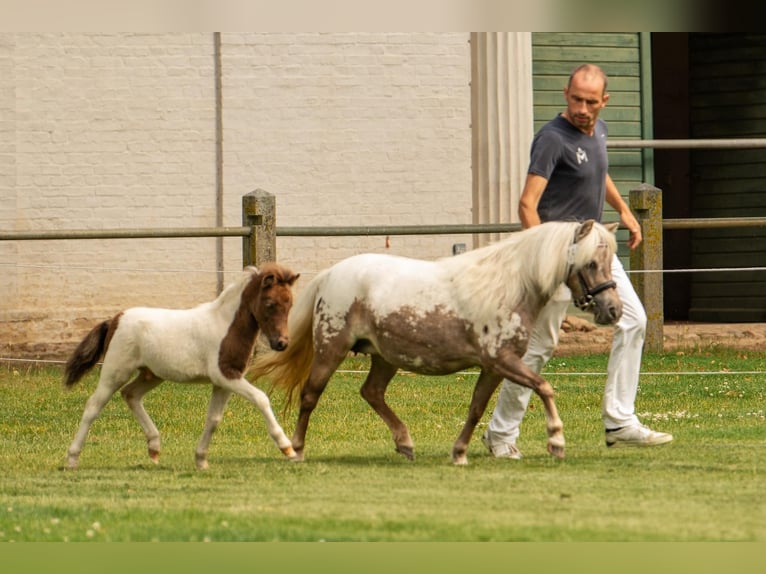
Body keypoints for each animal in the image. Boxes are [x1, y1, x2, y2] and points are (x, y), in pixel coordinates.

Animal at [64, 264, 302, 470]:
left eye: (290, 304)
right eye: (270, 303)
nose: (281, 343)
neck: (226, 325)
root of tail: (115, 319)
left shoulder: (224, 382)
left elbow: (213, 419)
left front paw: (201, 460)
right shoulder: (226, 376)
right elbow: (261, 398)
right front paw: (288, 449)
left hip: (151, 375)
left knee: (130, 394)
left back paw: (154, 448)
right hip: (115, 371)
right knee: (94, 406)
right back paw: (72, 459)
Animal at [250, 222, 624, 468]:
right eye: (591, 263)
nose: (613, 309)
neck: (508, 286)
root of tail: (330, 274)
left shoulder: (493, 368)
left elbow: (476, 408)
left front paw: (459, 453)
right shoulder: (502, 361)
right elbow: (545, 387)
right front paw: (556, 441)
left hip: (385, 357)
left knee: (371, 392)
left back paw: (404, 443)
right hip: (332, 349)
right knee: (310, 395)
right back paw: (297, 449)